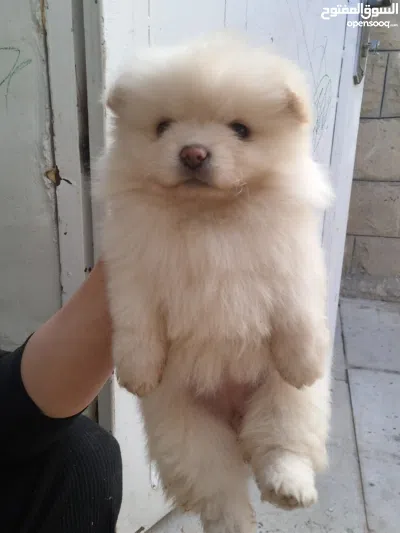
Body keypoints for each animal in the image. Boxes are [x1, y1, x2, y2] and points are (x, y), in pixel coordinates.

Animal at [98, 34, 333, 533]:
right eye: (163, 126)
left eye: (240, 130)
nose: (193, 152)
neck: (208, 216)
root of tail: (235, 420)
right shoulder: (131, 268)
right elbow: (136, 324)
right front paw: (137, 373)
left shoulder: (292, 259)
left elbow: (299, 312)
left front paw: (304, 362)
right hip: (183, 429)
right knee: (220, 488)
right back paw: (237, 520)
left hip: (286, 404)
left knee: (282, 444)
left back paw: (288, 488)